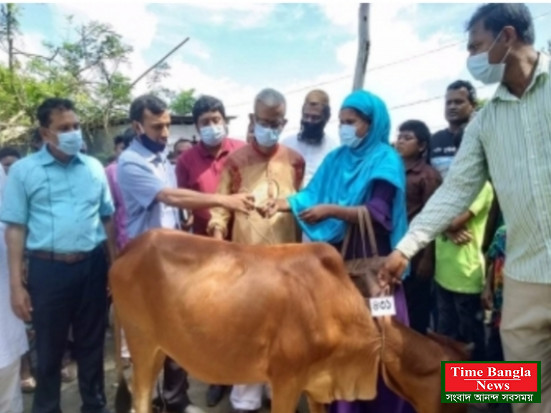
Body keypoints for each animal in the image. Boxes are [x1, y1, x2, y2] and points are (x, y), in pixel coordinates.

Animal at [110, 230, 468, 410]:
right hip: (141, 345)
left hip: (159, 349)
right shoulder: (286, 379)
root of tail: (129, 247)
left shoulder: (318, 384)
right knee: (140, 400)